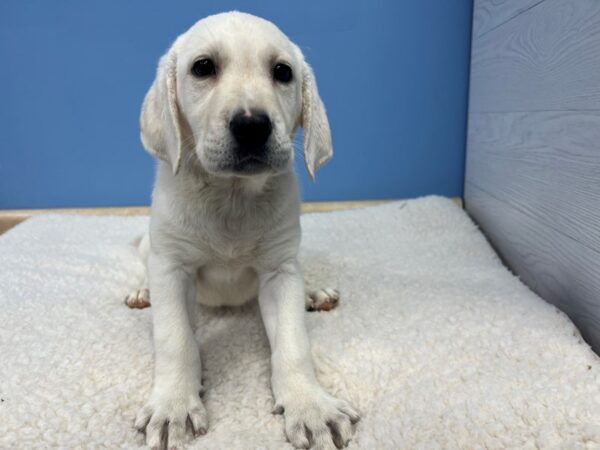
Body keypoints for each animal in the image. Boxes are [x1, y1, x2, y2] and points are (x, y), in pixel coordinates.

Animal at [127, 11, 358, 450]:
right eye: (203, 67)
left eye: (283, 72)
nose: (252, 126)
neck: (231, 197)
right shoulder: (171, 267)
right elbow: (175, 339)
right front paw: (173, 405)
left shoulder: (280, 271)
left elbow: (293, 343)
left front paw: (309, 404)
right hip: (150, 248)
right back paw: (142, 291)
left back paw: (313, 294)